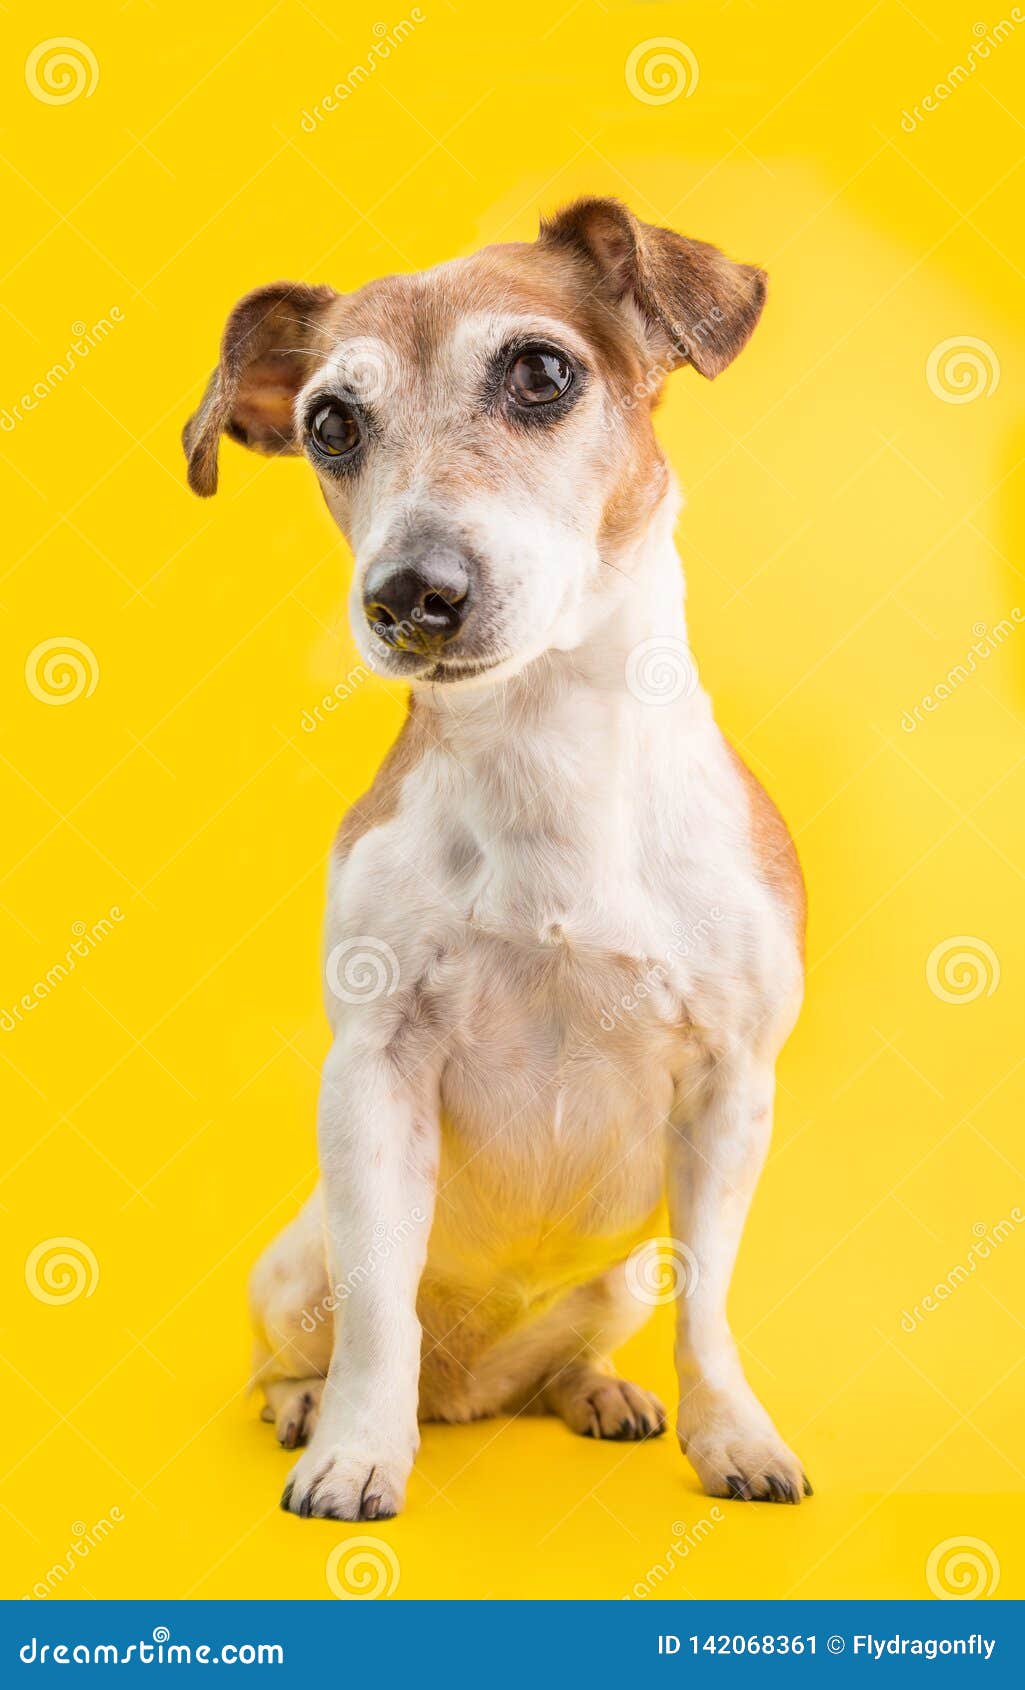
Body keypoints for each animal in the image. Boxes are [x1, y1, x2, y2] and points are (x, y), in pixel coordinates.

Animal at [184, 194, 810, 1521]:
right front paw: (354, 1449)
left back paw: (596, 1391)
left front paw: (729, 1433)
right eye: (329, 423)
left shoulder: (733, 1086)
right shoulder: (372, 1075)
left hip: (616, 1280)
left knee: (569, 1354)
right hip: (289, 1264)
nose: (410, 593)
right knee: (313, 1346)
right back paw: (307, 1403)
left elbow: (710, 1309)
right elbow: (378, 1314)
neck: (545, 748)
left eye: (538, 371)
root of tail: (467, 1389)